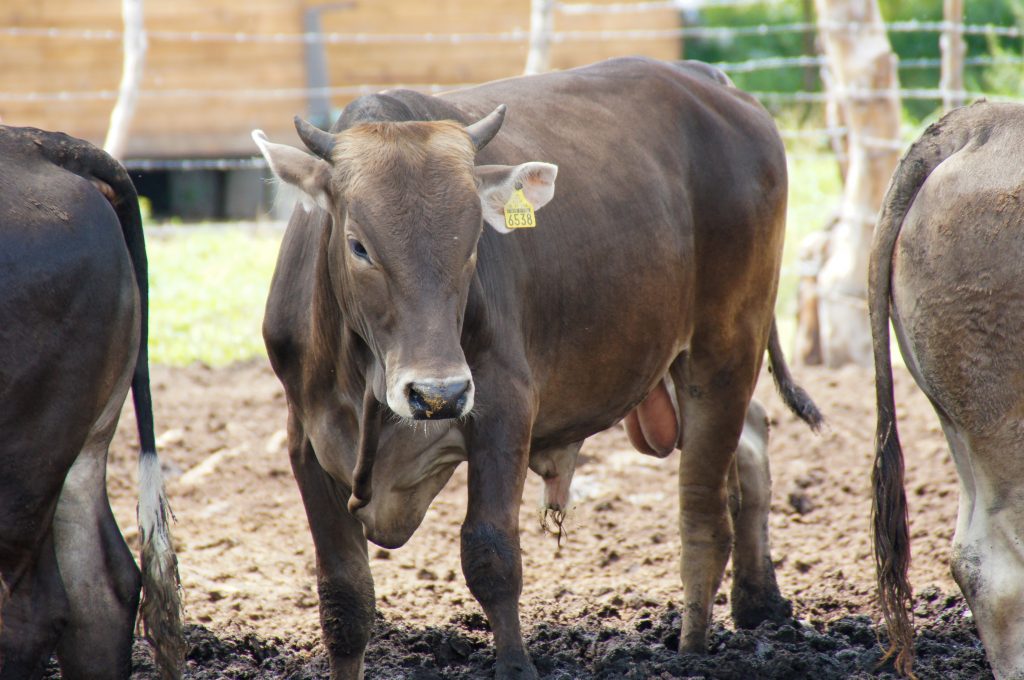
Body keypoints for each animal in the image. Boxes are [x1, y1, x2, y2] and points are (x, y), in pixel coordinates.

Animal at [254, 56, 822, 679]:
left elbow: (490, 556)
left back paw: (693, 649)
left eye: (472, 243)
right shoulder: (304, 437)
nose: (437, 394)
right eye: (358, 245)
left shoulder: (503, 406)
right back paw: (759, 601)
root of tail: (707, 79)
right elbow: (344, 597)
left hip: (724, 348)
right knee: (752, 436)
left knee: (703, 517)